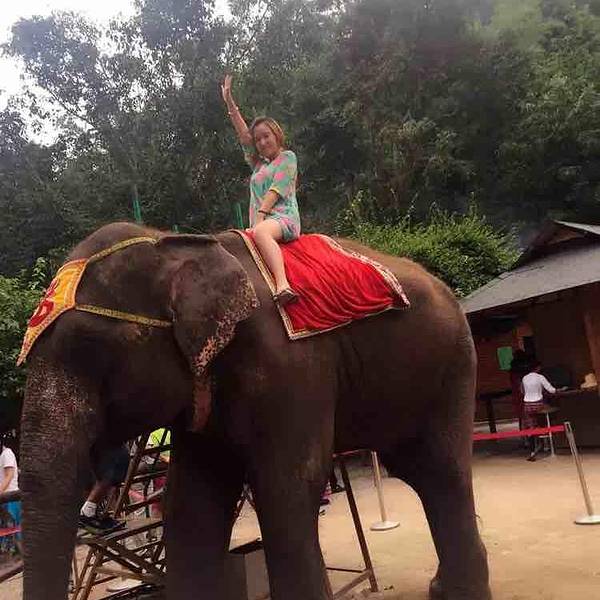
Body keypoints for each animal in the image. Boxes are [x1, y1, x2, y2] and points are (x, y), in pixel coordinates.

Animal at [19, 221, 491, 600]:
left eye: (89, 351)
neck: (171, 240)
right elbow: (190, 501)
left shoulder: (291, 368)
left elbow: (286, 485)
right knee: (418, 470)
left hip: (453, 363)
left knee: (441, 469)